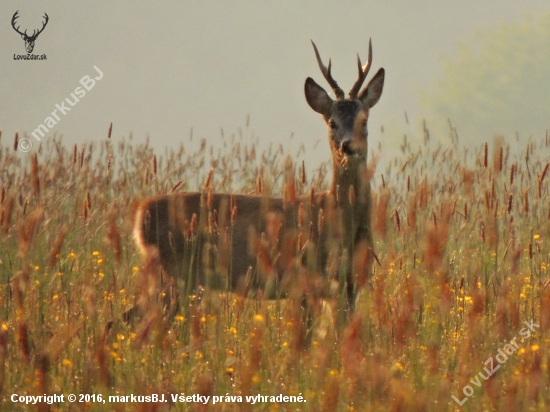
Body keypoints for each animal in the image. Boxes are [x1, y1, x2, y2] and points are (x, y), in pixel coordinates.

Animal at [134, 38, 386, 316]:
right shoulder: (305, 280)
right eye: (332, 122)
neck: (339, 217)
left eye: (364, 120)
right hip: (177, 275)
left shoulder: (349, 288)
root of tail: (140, 217)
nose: (348, 146)